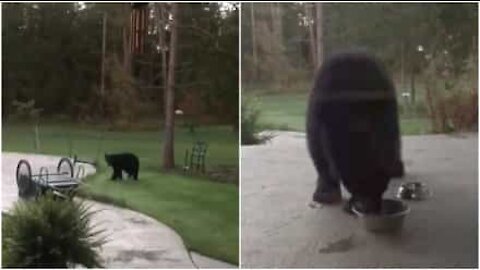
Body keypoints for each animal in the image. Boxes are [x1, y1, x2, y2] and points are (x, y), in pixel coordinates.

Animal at [306, 50, 404, 214]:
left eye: (383, 184)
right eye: (354, 184)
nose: (371, 208)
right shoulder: (317, 116)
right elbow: (320, 155)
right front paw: (326, 192)